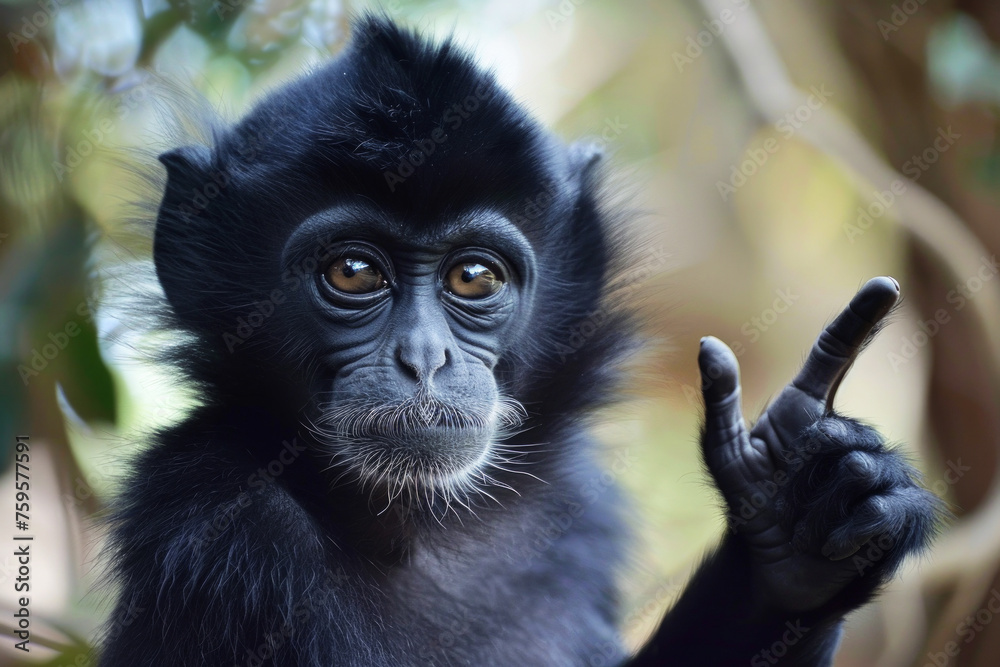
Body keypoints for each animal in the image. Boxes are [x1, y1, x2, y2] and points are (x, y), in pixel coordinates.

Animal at [98, 14, 941, 666]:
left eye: (473, 277)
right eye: (352, 271)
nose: (424, 356)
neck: (425, 529)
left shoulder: (579, 514)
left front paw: (794, 530)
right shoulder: (215, 518)